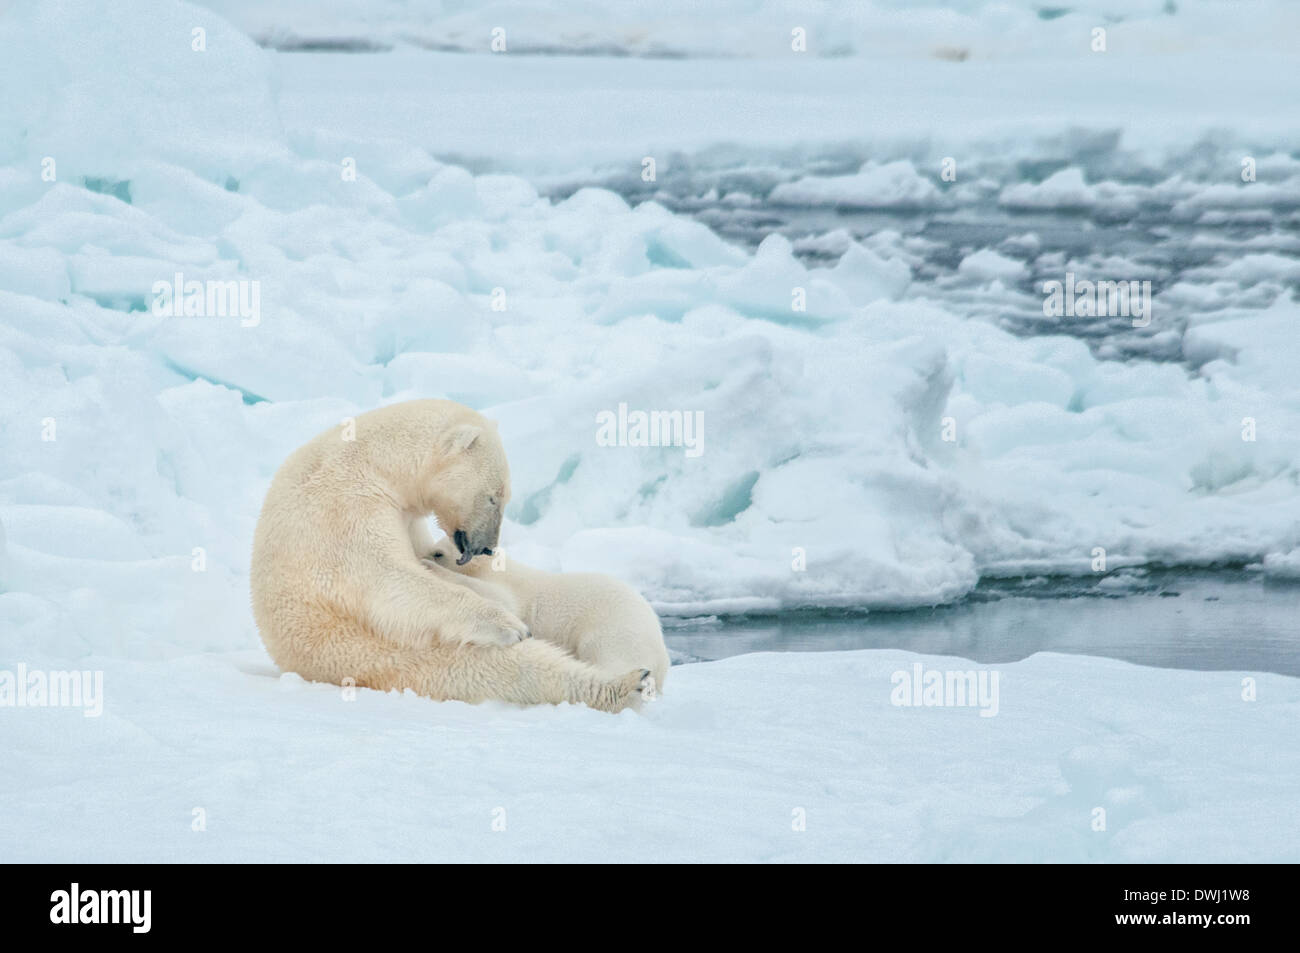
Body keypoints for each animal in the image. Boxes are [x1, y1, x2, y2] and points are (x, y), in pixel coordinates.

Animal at [252, 397, 655, 712]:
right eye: (495, 496)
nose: (488, 546)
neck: (372, 462)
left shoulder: (400, 512)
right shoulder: (345, 508)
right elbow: (389, 579)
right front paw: (510, 624)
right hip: (383, 653)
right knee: (504, 669)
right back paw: (621, 685)